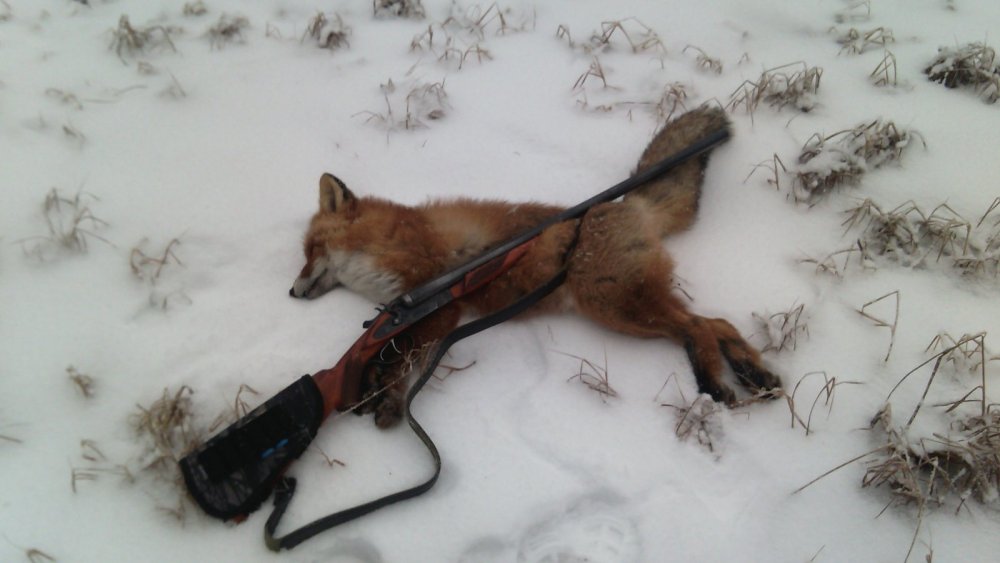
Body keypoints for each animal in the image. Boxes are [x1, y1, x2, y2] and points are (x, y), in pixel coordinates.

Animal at [290, 107, 782, 427]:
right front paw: (372, 388)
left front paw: (387, 400)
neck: (385, 244)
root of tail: (626, 204)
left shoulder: (439, 306)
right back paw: (757, 378)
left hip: (615, 305)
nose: (292, 292)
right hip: (626, 304)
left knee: (698, 327)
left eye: (311, 249)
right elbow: (391, 356)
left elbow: (403, 361)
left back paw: (716, 385)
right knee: (716, 323)